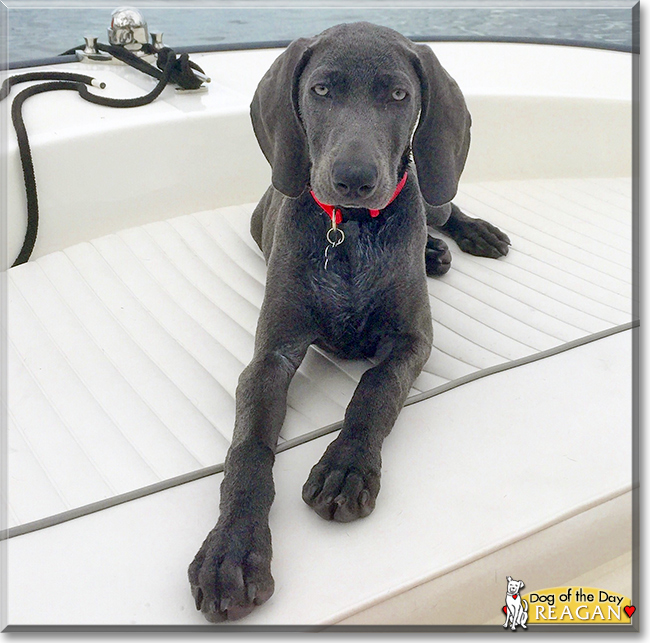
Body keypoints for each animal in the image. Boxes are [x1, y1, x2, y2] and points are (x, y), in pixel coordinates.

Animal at [186, 22, 506, 620]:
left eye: (399, 95)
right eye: (322, 90)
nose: (353, 179)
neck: (351, 231)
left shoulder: (413, 341)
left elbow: (374, 391)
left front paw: (347, 466)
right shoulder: (270, 355)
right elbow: (248, 448)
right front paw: (231, 549)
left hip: (432, 184)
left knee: (445, 205)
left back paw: (470, 235)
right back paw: (434, 252)